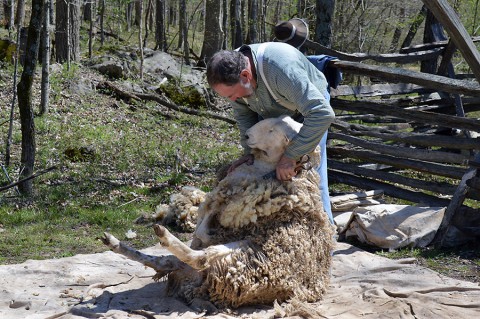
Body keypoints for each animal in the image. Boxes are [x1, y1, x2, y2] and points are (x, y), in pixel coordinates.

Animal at [102, 115, 334, 316]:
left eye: (272, 131)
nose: (247, 135)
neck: (262, 168)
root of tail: (191, 281)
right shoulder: (220, 197)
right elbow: (205, 219)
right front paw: (202, 231)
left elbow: (206, 229)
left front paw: (201, 233)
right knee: (166, 262)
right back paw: (115, 242)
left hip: (249, 255)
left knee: (202, 258)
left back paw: (164, 236)